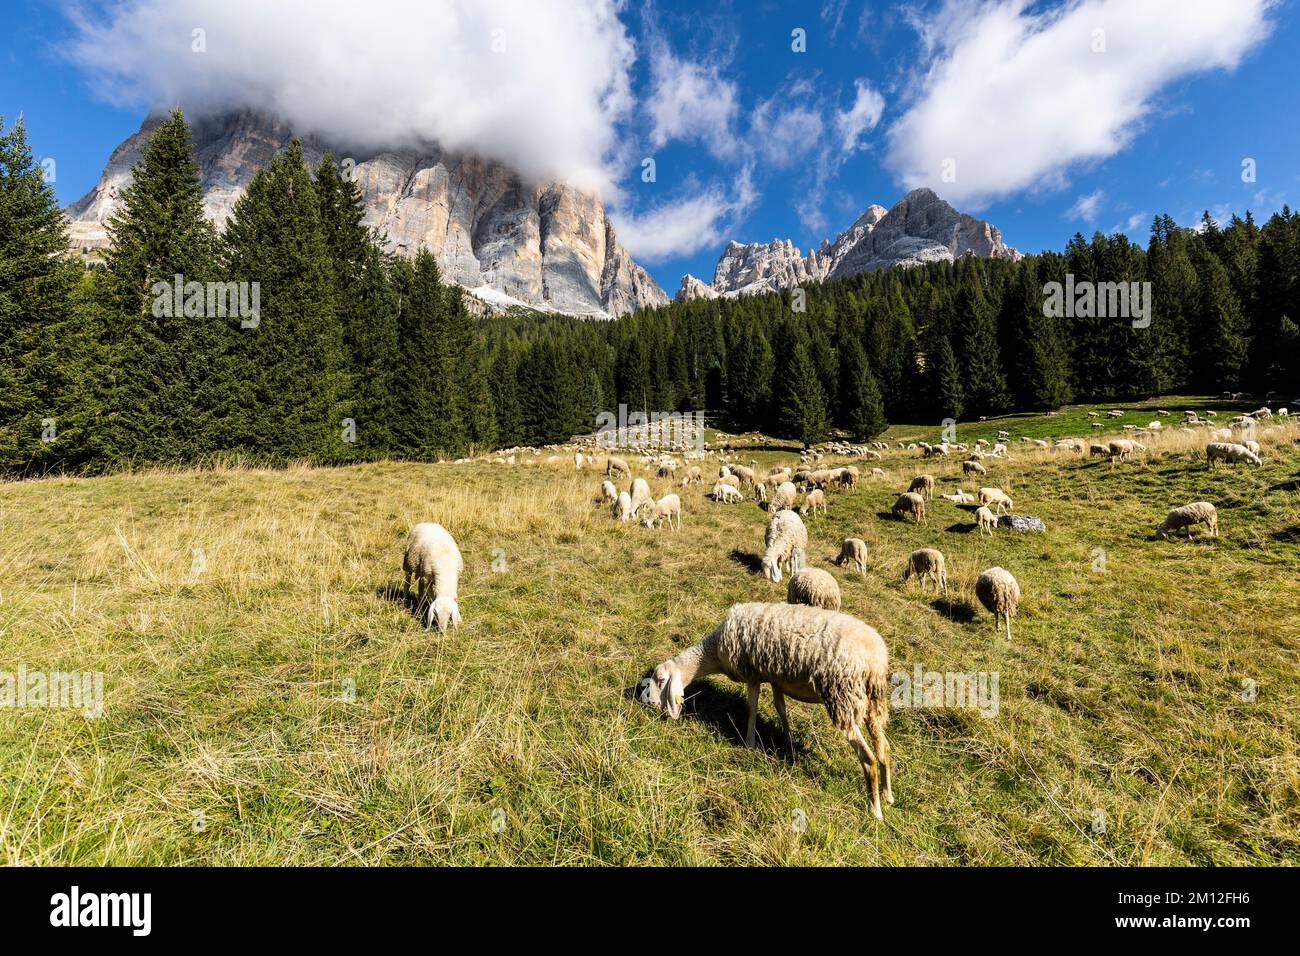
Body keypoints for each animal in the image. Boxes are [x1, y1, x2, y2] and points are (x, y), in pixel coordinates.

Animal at [636, 602, 894, 818]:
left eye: (661, 681)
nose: (649, 704)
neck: (715, 650)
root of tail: (876, 659)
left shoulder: (752, 673)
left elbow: (752, 706)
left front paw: (750, 741)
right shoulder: (775, 678)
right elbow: (781, 708)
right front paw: (787, 739)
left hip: (843, 697)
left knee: (868, 759)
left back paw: (875, 810)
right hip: (873, 703)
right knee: (884, 749)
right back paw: (888, 794)